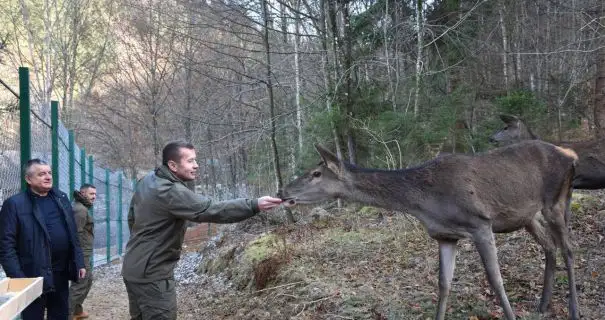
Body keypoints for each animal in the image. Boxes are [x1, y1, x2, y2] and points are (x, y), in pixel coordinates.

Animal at [280, 142, 580, 320]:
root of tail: (571, 156)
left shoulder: (480, 223)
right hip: (526, 216)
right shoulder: (445, 236)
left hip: (555, 201)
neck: (425, 202)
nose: (282, 191)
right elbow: (443, 284)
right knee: (550, 246)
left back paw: (573, 310)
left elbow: (496, 280)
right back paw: (542, 305)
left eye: (316, 173)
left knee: (568, 249)